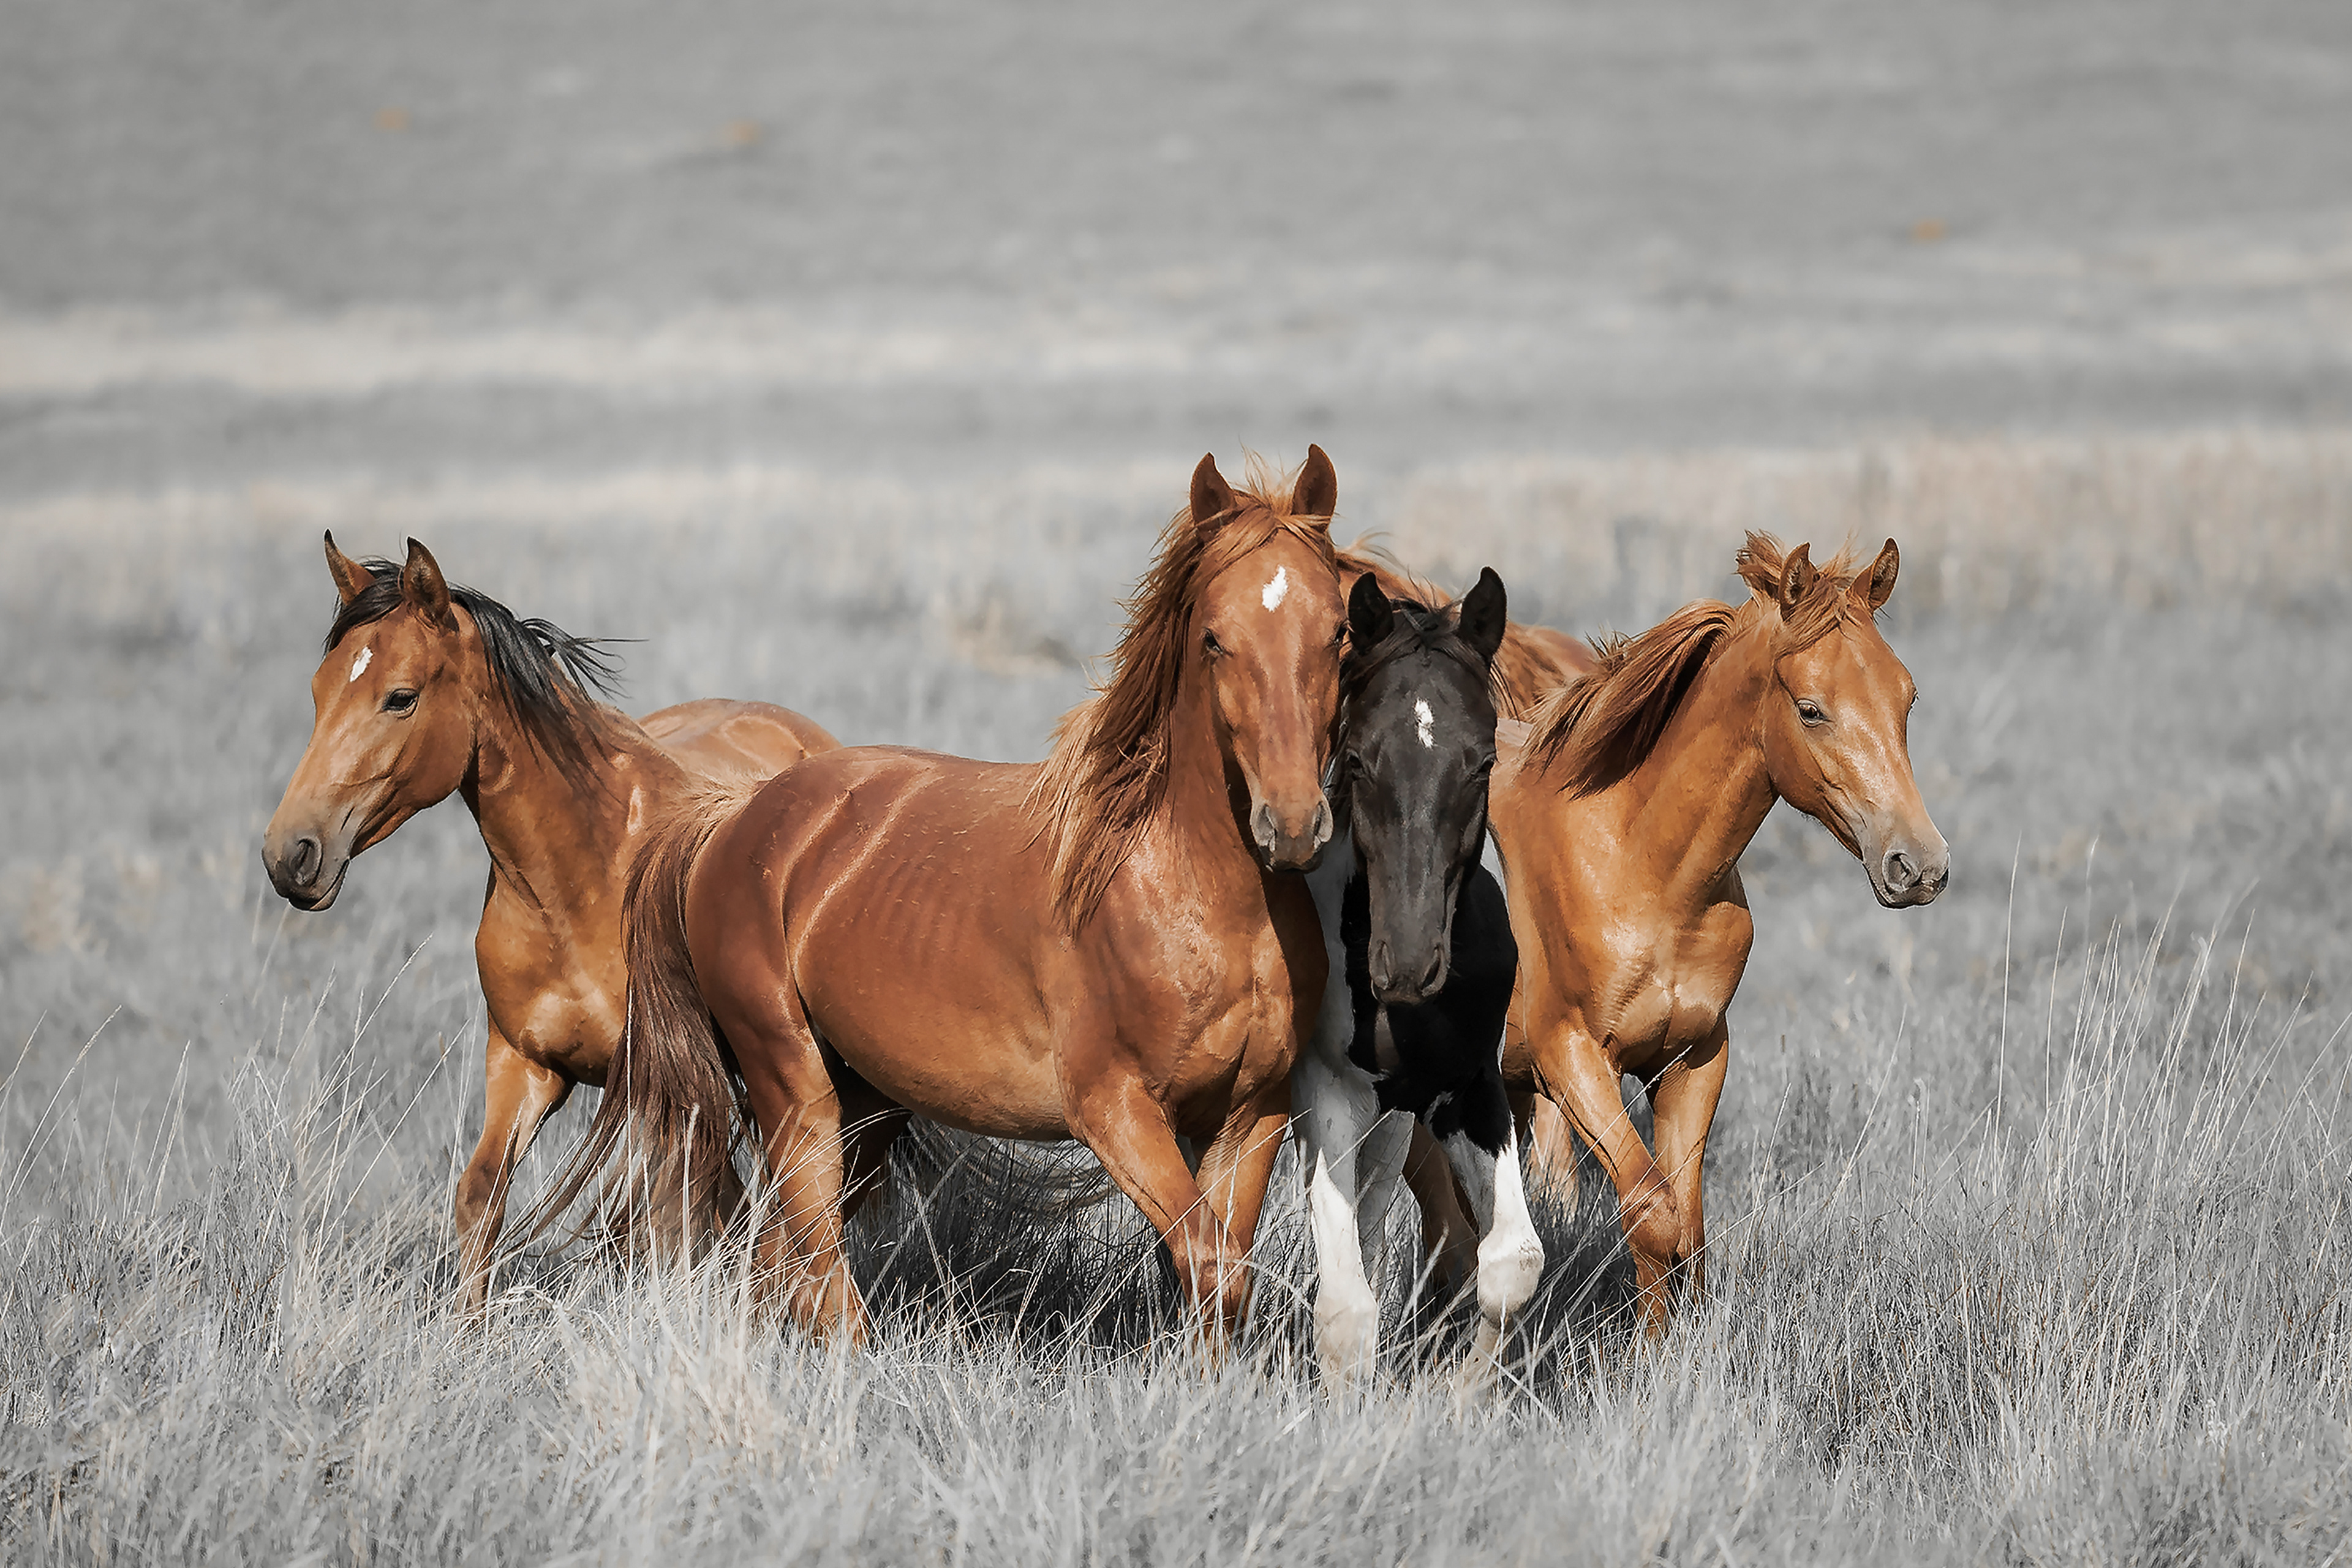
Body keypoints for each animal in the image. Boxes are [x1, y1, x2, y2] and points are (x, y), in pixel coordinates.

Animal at [259, 534, 839, 1313]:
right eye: (320, 691)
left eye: (400, 697)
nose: (290, 854)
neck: (581, 880)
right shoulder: (523, 1064)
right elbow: (480, 1198)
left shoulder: (669, 1087)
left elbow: (689, 1217)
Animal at [547, 450, 1350, 1348]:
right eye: (1215, 638)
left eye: (1340, 632)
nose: (1292, 825)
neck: (1191, 896)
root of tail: (735, 817)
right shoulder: (1114, 1110)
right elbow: (1206, 1258)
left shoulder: (1252, 1114)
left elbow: (1225, 1269)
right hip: (793, 1084)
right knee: (816, 1257)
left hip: (867, 1105)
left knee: (779, 1258)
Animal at [1292, 566, 1544, 1382]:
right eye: (1358, 758)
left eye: (1483, 761)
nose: (1404, 966)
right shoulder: (1329, 1092)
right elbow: (1344, 1313)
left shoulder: (1466, 1086)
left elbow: (1511, 1263)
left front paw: (1463, 1396)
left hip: (1396, 1119)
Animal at [1407, 534, 1948, 1334]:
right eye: (1811, 709)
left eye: (1907, 697)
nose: (1919, 865)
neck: (1641, 865)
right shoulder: (1573, 1060)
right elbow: (1651, 1213)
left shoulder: (1692, 1057)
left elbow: (1685, 1226)